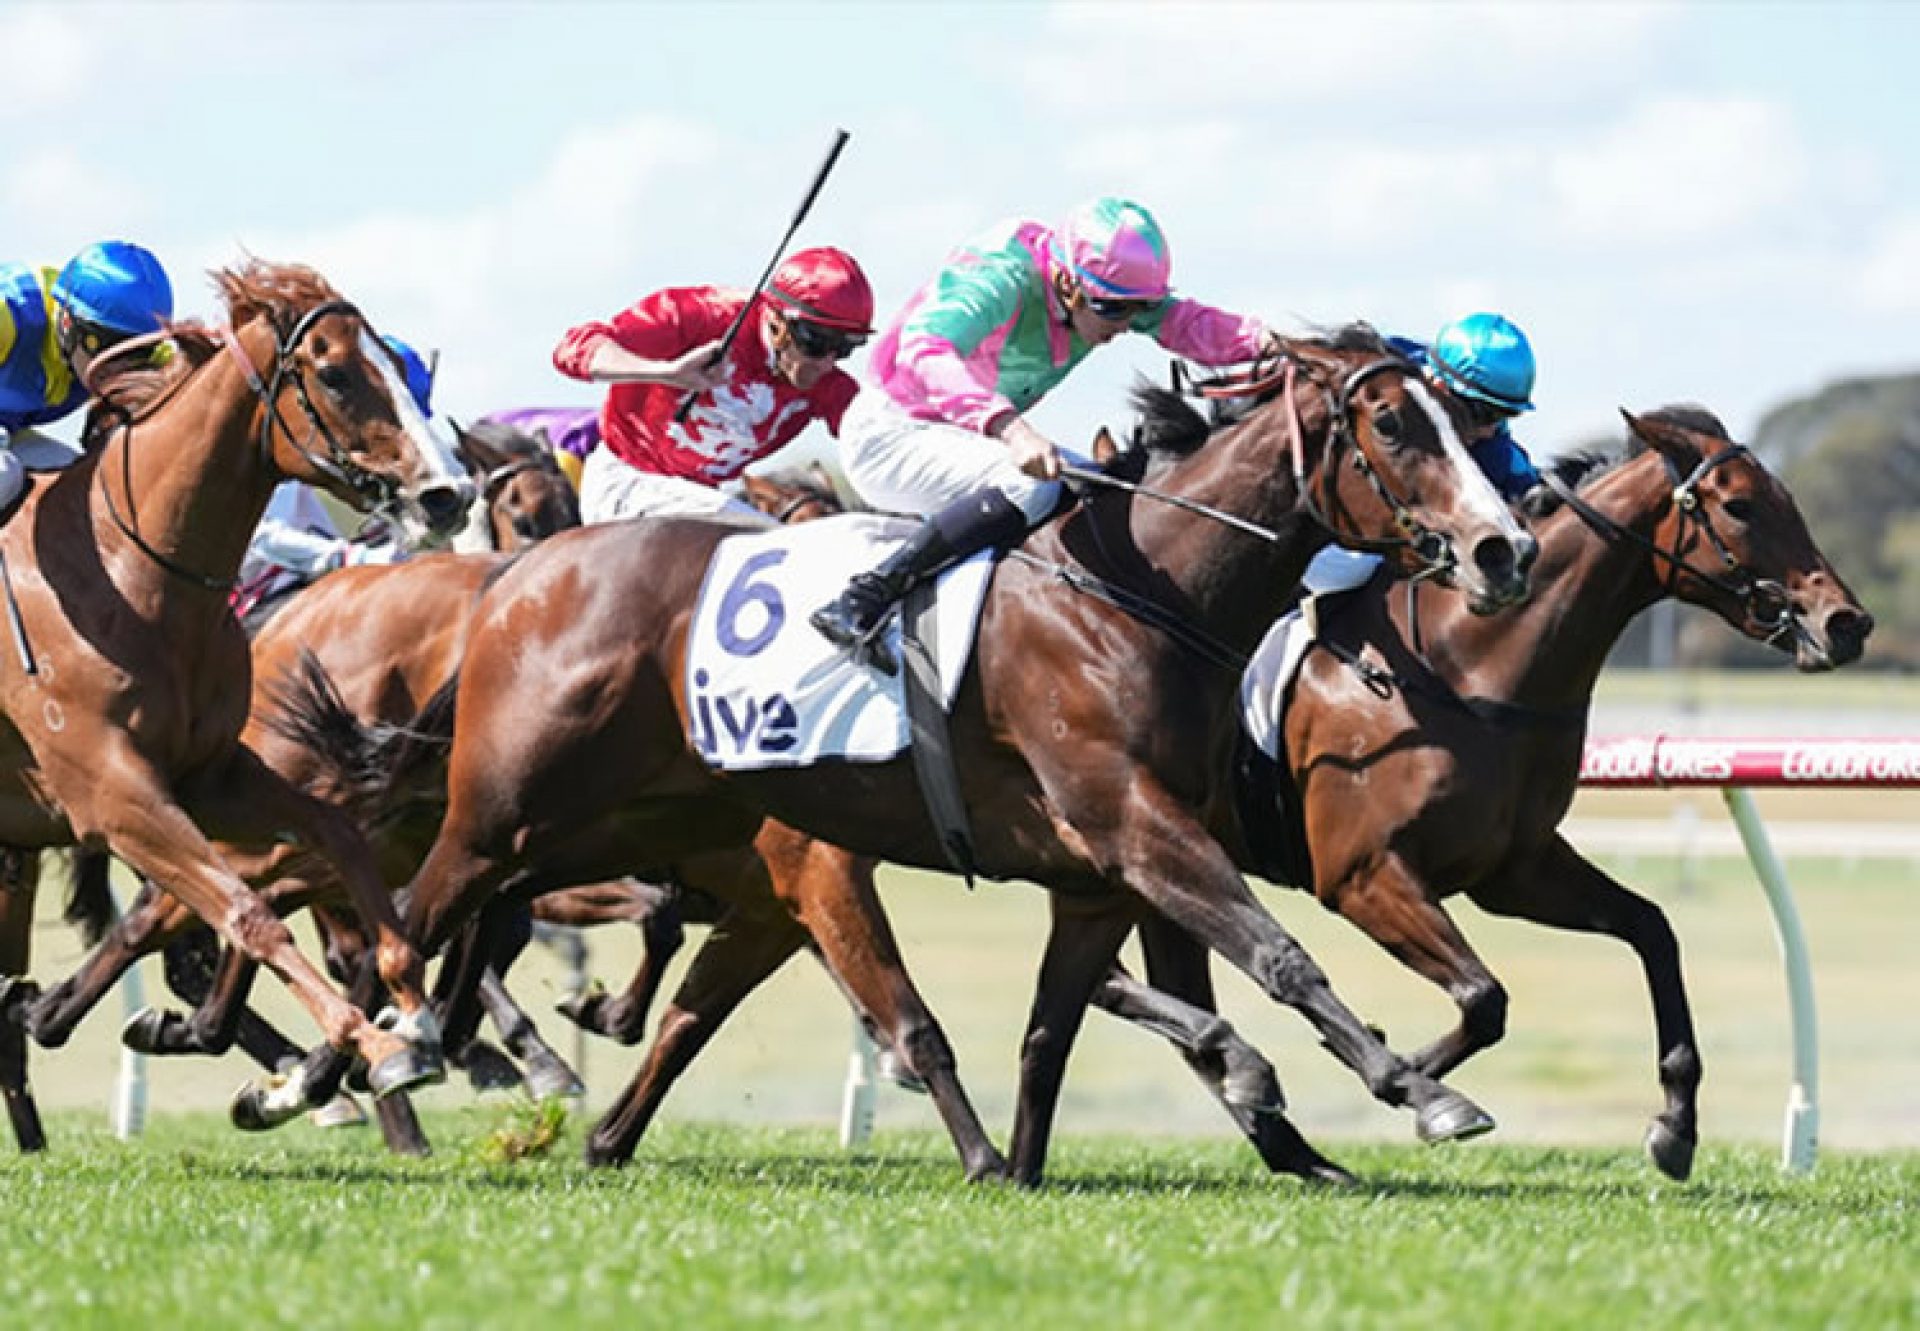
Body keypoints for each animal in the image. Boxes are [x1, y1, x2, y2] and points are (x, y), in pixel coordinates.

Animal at [0, 257, 472, 1144]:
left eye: (398, 368)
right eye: (335, 373)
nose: (448, 495)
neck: (130, 572)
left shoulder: (211, 776)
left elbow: (337, 836)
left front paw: (412, 1013)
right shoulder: (112, 796)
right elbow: (247, 912)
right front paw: (367, 1046)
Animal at [274, 326, 1543, 1175]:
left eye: (1461, 426)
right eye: (1395, 426)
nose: (1505, 549)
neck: (1138, 593)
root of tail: (515, 578)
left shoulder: (1101, 874)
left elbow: (1055, 1030)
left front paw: (1040, 1164)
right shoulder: (1134, 823)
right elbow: (1281, 957)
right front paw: (1416, 1087)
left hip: (614, 824)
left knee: (499, 927)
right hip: (508, 805)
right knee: (404, 921)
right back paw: (332, 1071)